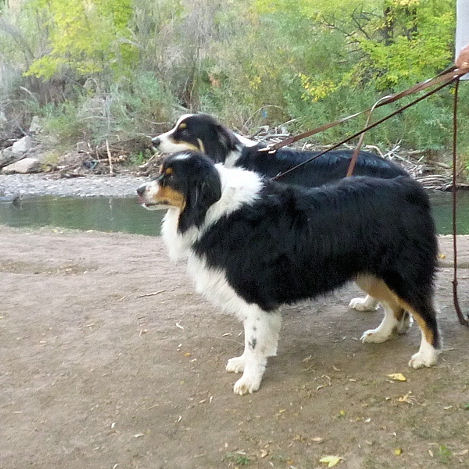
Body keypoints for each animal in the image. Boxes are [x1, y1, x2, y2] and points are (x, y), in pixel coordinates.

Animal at [137, 151, 440, 395]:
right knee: (394, 307)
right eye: (162, 172)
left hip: (403, 273)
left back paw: (427, 355)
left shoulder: (253, 294)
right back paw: (381, 334)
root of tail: (409, 186)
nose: (139, 190)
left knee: (425, 314)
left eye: (170, 178)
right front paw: (244, 363)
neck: (213, 210)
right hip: (371, 273)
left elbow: (253, 340)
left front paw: (250, 379)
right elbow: (252, 341)